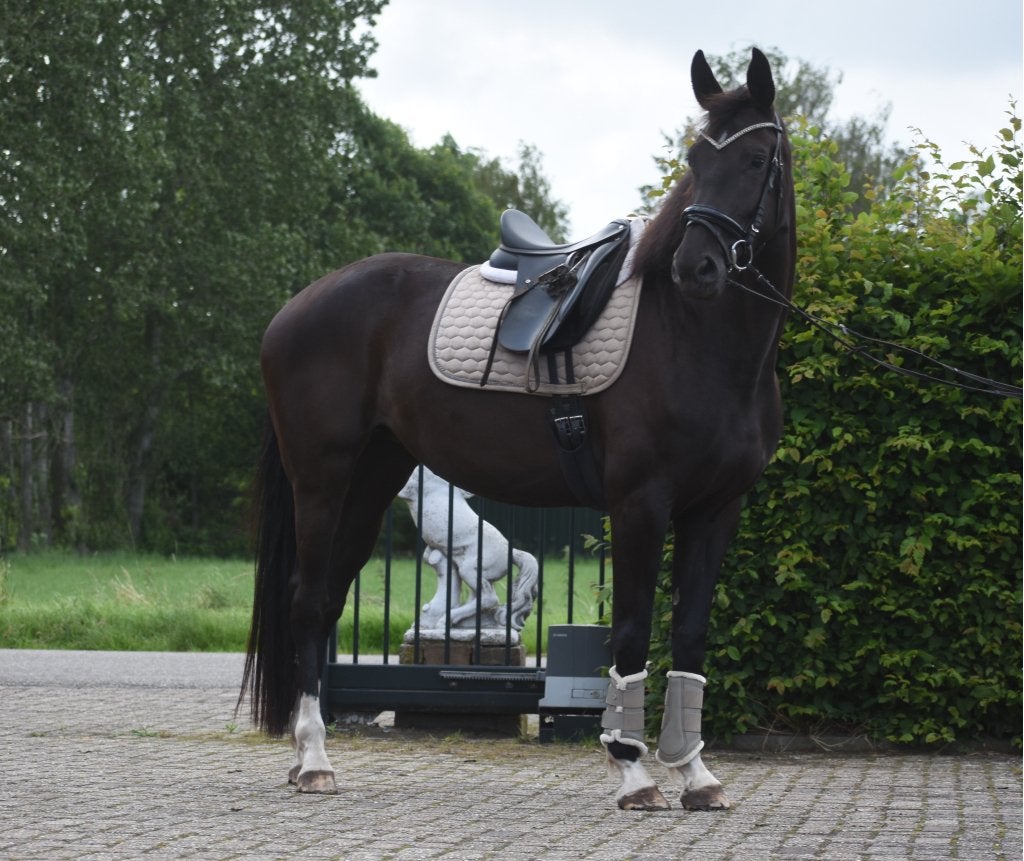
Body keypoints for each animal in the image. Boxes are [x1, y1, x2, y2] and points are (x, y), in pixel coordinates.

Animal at [241, 47, 795, 811]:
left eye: (756, 158)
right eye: (694, 159)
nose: (697, 267)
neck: (694, 338)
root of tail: (294, 307)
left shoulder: (716, 509)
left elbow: (688, 635)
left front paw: (696, 774)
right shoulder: (640, 503)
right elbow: (631, 631)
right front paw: (632, 771)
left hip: (372, 481)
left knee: (323, 601)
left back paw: (308, 758)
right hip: (321, 480)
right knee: (304, 602)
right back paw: (315, 756)